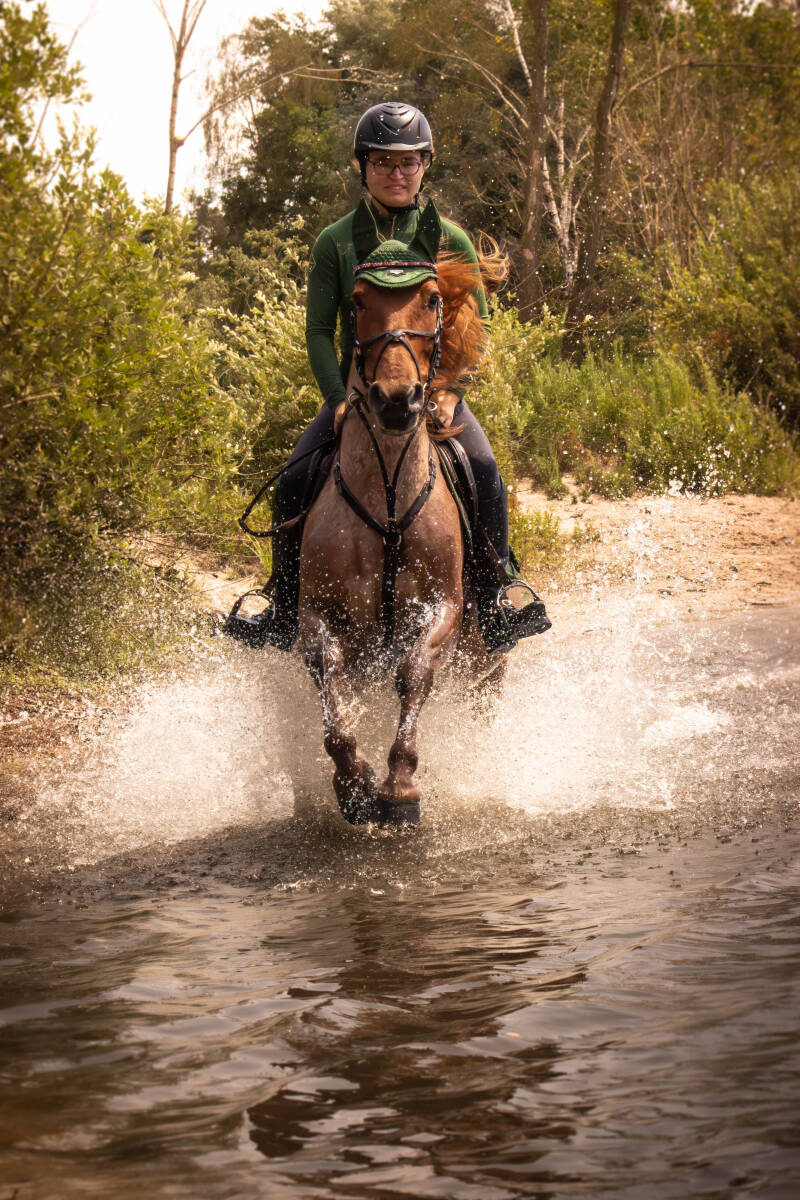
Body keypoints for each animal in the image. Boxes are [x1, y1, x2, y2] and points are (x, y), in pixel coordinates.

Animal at [298, 243, 507, 829]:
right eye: (357, 302)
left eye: (433, 299)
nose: (397, 400)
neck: (388, 494)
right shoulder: (317, 612)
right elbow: (329, 682)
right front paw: (354, 784)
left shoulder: (445, 606)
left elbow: (414, 672)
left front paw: (400, 786)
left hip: (489, 662)